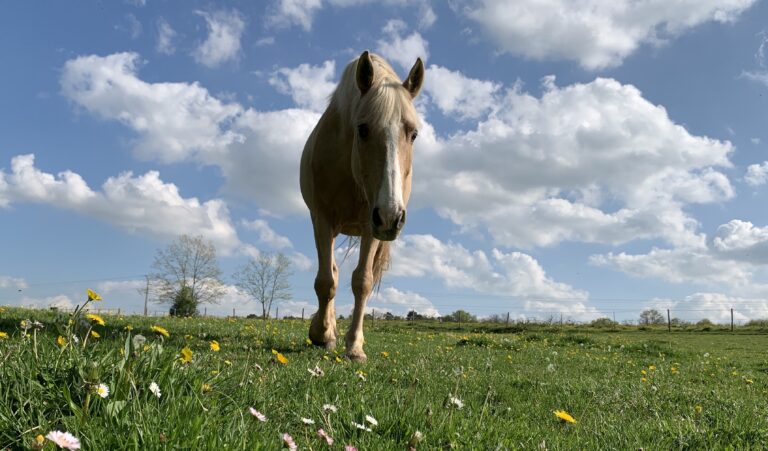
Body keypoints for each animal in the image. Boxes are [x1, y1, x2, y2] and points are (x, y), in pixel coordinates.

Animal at [300, 51, 424, 362]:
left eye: (413, 134)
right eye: (363, 129)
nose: (392, 216)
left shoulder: (371, 226)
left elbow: (362, 282)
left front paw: (354, 346)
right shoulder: (322, 219)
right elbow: (326, 281)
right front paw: (322, 335)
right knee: (330, 272)